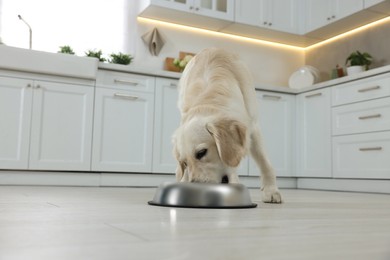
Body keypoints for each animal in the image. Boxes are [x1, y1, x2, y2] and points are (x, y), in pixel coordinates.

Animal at [172, 48, 282, 203]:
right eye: (185, 163)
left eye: (202, 152)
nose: (194, 188)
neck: (209, 101)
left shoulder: (253, 128)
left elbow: (265, 163)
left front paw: (271, 190)